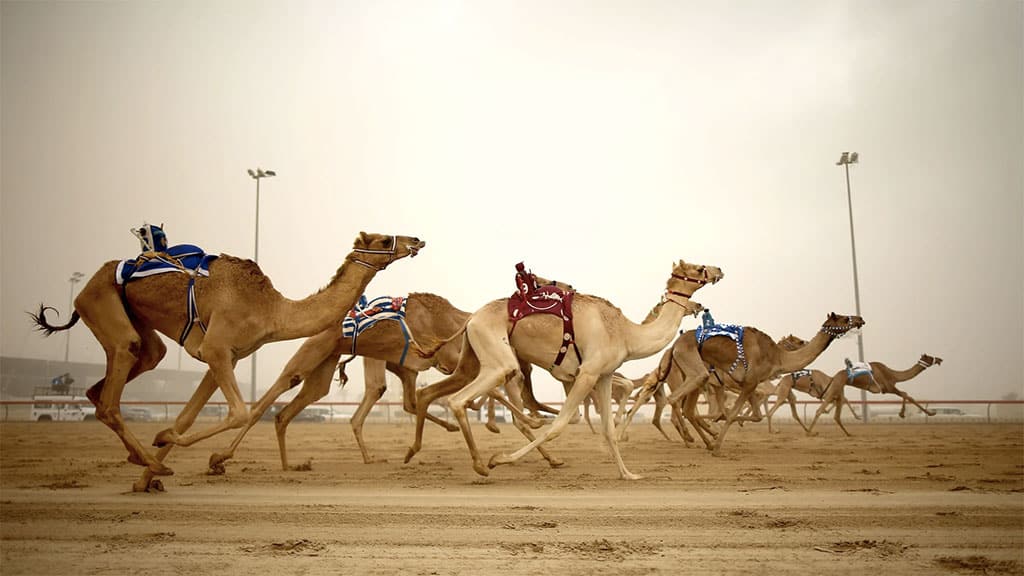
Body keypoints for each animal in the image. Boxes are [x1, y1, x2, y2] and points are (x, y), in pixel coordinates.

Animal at [30, 229, 423, 487]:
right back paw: (151, 461)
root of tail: (89, 282)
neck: (271, 309)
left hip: (136, 324)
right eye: (383, 240)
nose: (417, 241)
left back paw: (144, 461)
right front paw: (173, 448)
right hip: (100, 300)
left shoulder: (227, 357)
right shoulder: (216, 349)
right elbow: (239, 412)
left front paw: (149, 471)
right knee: (113, 391)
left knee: (123, 375)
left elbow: (188, 417)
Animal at [399, 258, 720, 477]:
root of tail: (471, 318)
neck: (626, 334)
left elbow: (607, 428)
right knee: (459, 399)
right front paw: (501, 458)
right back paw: (482, 464)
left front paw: (628, 474)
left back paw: (414, 451)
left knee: (433, 394)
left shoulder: (602, 376)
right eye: (699, 268)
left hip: (471, 358)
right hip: (498, 360)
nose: (718, 270)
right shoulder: (587, 373)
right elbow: (562, 422)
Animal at [806, 350, 942, 434]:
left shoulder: (888, 388)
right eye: (930, 357)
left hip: (836, 388)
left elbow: (905, 394)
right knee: (821, 409)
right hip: (836, 387)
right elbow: (906, 394)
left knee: (835, 406)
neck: (893, 374)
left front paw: (903, 414)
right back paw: (809, 432)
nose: (940, 359)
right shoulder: (888, 387)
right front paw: (930, 413)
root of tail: (834, 376)